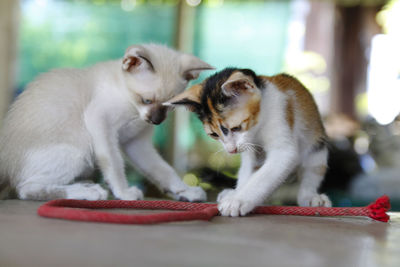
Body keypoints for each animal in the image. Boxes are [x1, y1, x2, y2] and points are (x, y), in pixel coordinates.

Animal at [164, 67, 332, 218]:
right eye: (214, 134)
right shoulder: (249, 150)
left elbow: (264, 176)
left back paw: (310, 197)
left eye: (236, 128)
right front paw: (236, 194)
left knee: (311, 173)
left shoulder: (282, 130)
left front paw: (237, 201)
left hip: (317, 149)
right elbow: (247, 171)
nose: (231, 150)